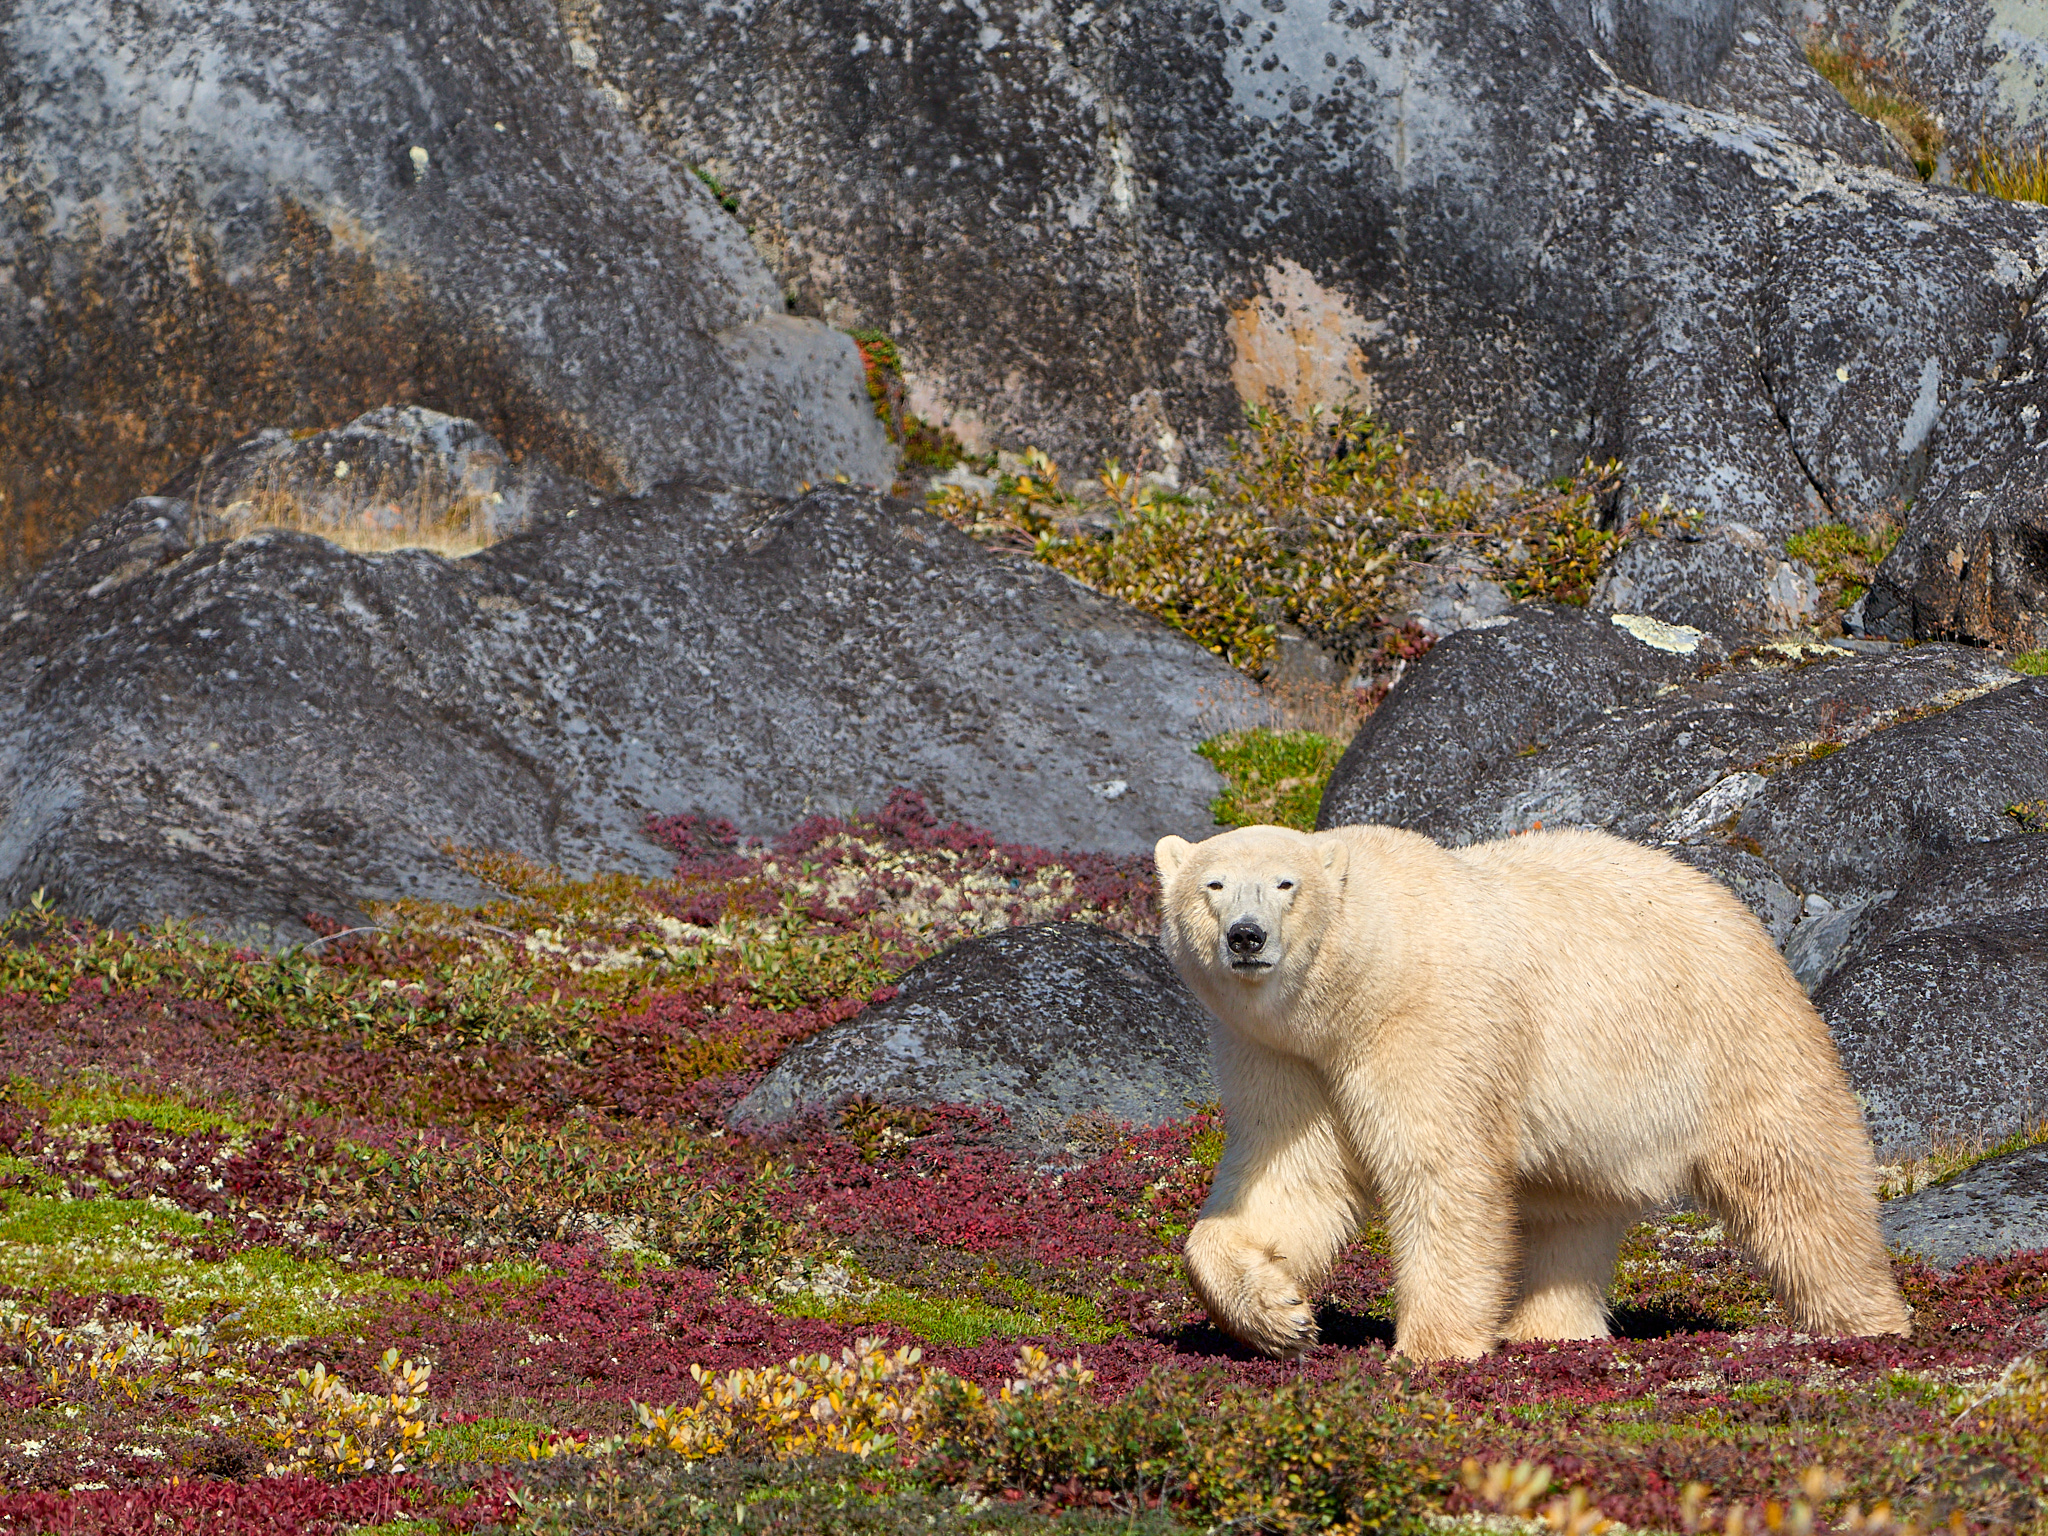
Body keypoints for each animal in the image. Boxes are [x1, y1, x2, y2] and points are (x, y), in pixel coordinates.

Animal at [1154, 821, 1910, 1362]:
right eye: (1213, 884)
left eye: (1286, 884)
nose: (1246, 937)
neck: (1361, 983)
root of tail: (1748, 922)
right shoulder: (1278, 1055)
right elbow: (1290, 1180)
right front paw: (1280, 1318)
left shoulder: (1431, 1023)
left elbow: (1442, 1172)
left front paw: (1430, 1349)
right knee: (1569, 1216)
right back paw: (1549, 1331)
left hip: (1730, 1045)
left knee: (1797, 1183)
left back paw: (1866, 1323)